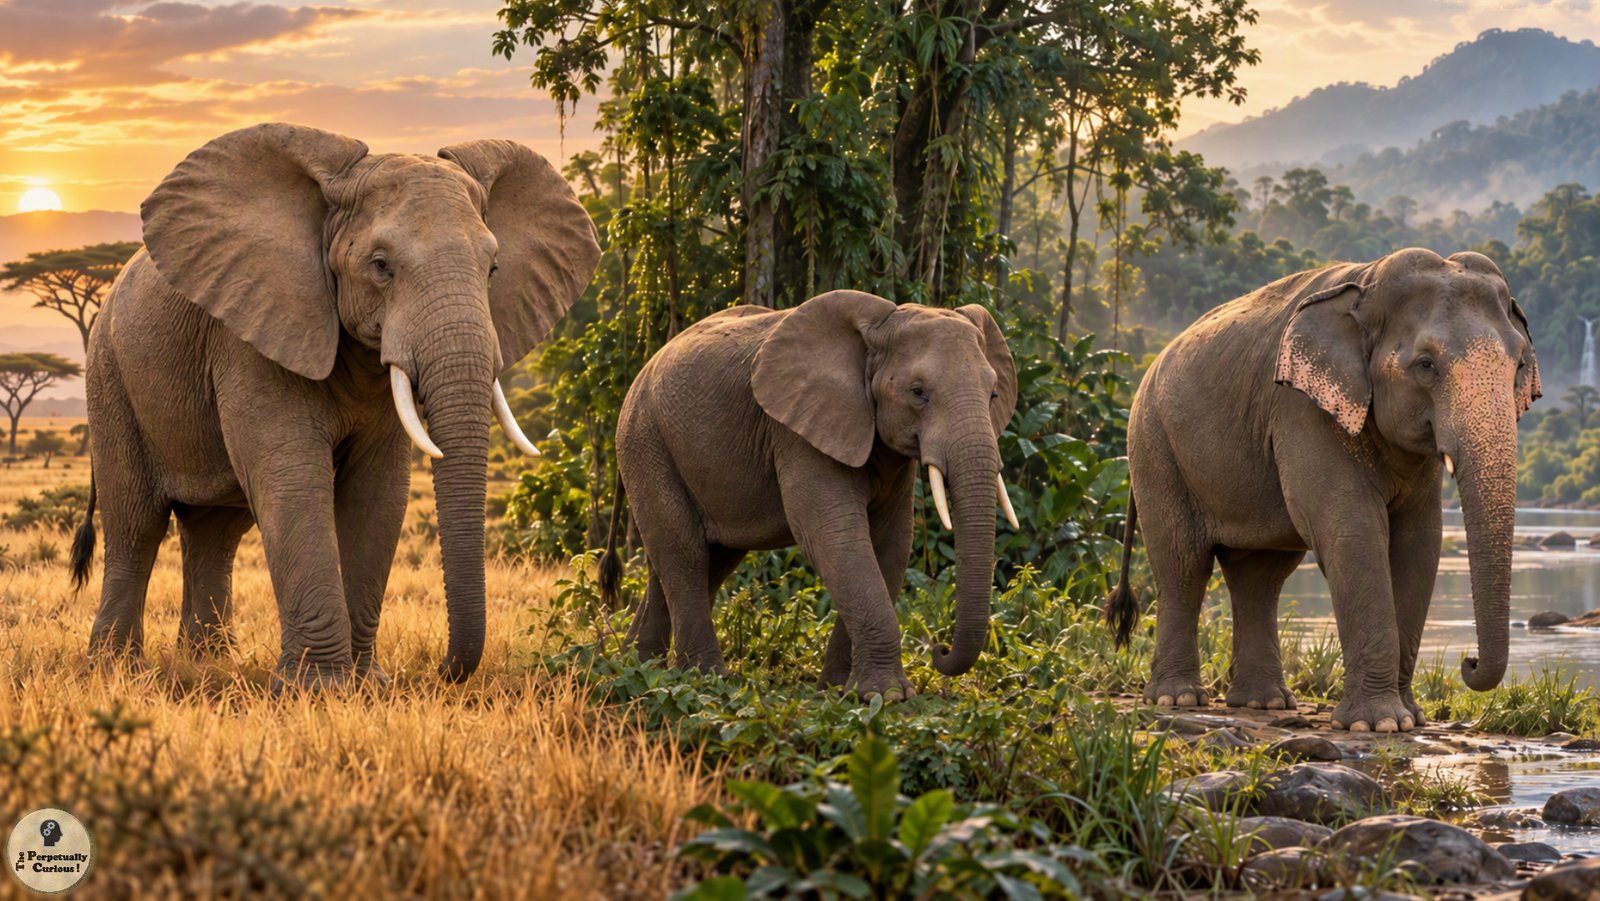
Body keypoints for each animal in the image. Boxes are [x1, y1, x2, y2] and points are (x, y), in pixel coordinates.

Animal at [69, 122, 600, 688]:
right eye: (381, 266)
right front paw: (316, 690)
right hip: (110, 375)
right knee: (136, 522)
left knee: (214, 532)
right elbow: (293, 479)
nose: (439, 671)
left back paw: (208, 664)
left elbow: (378, 491)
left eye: (494, 268)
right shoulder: (255, 331)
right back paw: (116, 670)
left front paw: (367, 686)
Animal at [596, 291, 1019, 699]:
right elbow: (835, 537)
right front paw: (887, 696)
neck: (876, 329)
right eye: (918, 392)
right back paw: (701, 678)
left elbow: (891, 543)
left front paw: (839, 690)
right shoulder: (796, 433)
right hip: (645, 440)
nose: (937, 649)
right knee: (686, 552)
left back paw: (636, 668)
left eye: (994, 395)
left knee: (703, 559)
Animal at [1106, 248, 1540, 732]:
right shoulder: (1302, 408)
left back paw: (1264, 703)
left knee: (1258, 576)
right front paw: (1379, 724)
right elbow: (1351, 531)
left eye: (1519, 366)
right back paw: (1178, 698)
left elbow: (1420, 544)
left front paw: (1410, 719)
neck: (1366, 285)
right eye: (1426, 365)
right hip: (1154, 446)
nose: (1469, 660)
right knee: (1183, 563)